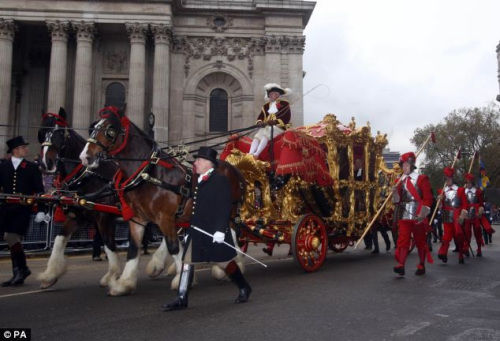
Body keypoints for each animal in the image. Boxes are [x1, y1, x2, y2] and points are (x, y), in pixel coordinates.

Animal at [79, 106, 245, 294]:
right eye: (93, 128)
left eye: (110, 130)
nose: (85, 157)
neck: (149, 174)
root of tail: (233, 168)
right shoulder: (137, 219)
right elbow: (134, 248)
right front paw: (124, 283)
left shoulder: (165, 217)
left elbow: (173, 247)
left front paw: (182, 279)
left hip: (229, 212)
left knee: (231, 237)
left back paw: (233, 264)